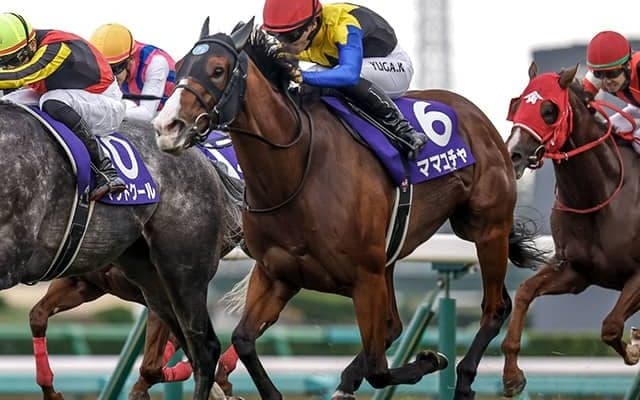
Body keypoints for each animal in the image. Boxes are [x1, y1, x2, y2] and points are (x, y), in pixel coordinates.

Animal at [0, 102, 241, 400]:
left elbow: (153, 364)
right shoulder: (83, 282)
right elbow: (38, 315)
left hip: (184, 271)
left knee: (206, 344)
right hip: (155, 279)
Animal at [152, 19, 548, 400]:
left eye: (218, 70)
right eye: (182, 66)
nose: (167, 127)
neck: (296, 171)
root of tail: (476, 115)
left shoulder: (364, 276)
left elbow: (379, 369)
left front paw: (431, 358)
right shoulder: (277, 274)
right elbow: (243, 340)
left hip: (485, 227)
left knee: (494, 307)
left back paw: (470, 380)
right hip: (393, 258)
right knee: (394, 326)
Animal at [502, 62, 640, 397]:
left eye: (548, 110)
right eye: (517, 104)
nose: (513, 154)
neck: (601, 196)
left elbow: (611, 327)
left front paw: (634, 348)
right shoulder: (576, 272)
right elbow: (524, 292)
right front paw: (512, 376)